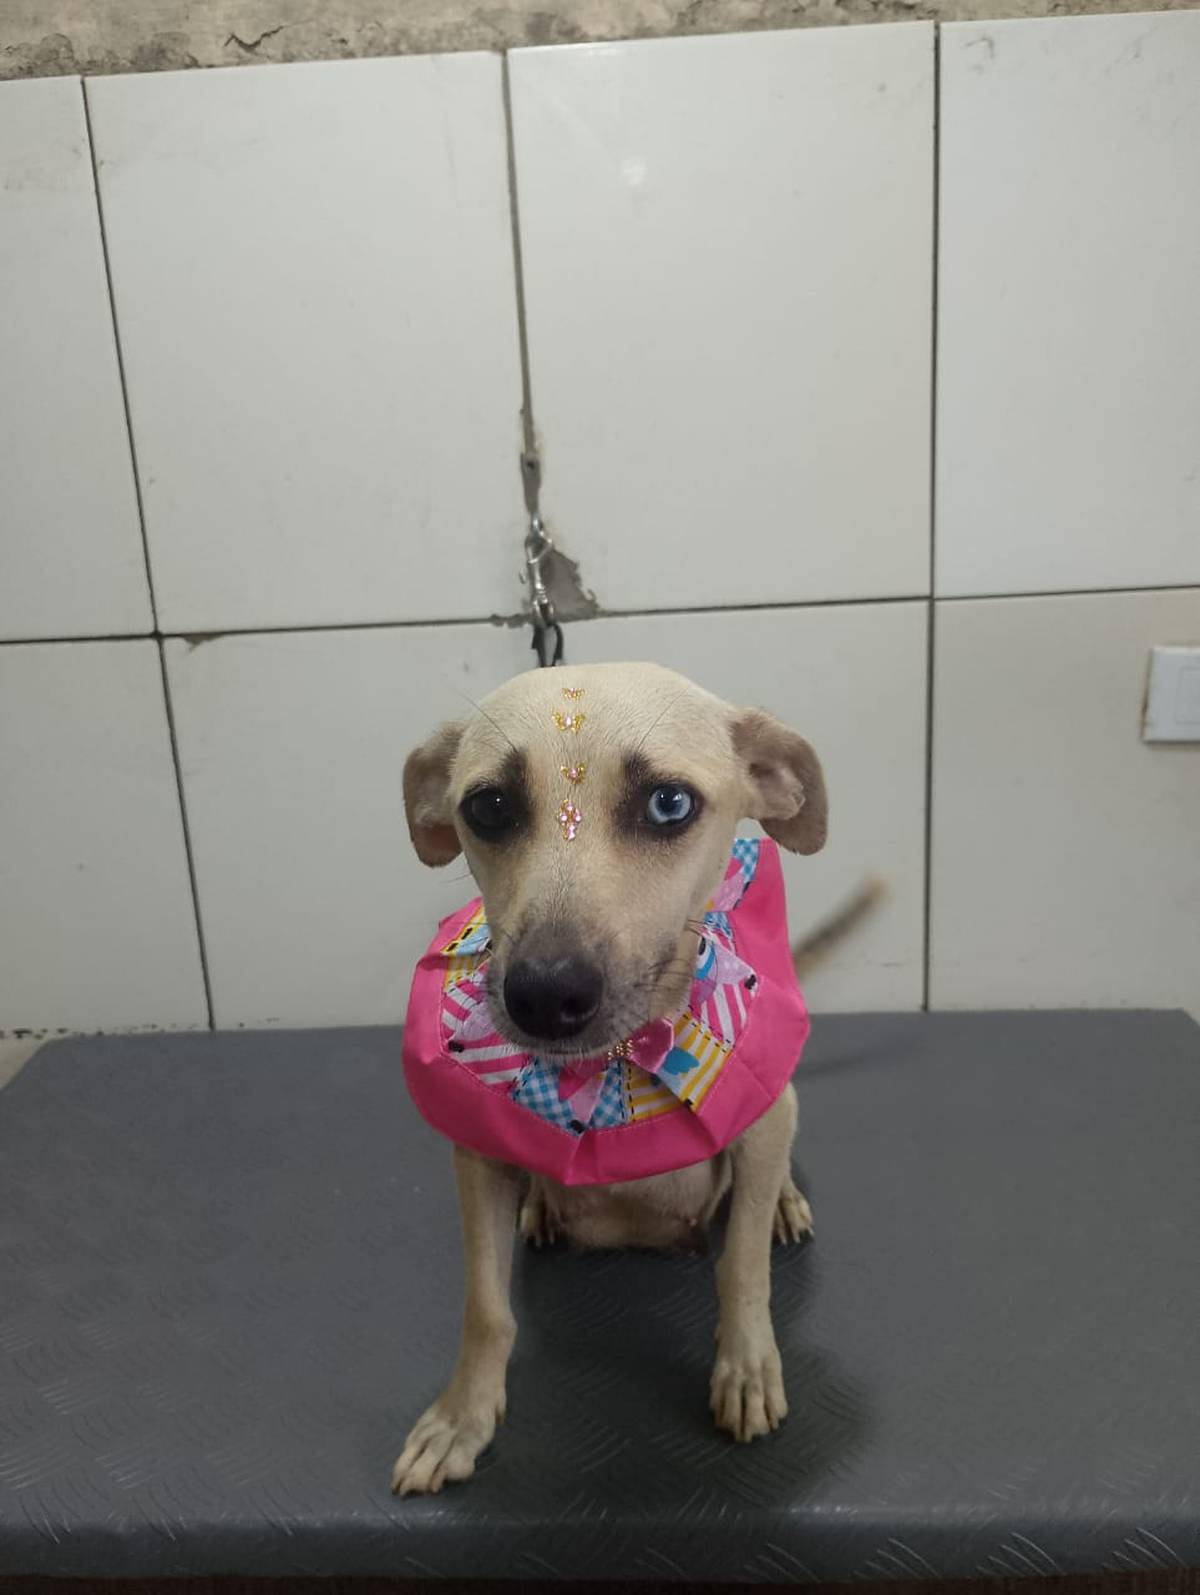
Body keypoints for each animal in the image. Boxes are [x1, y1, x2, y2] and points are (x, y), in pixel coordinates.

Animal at [392, 661, 871, 1497]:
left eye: (668, 803)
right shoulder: (476, 1158)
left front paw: (746, 1368)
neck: (612, 1065)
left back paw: (782, 1202)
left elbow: (742, 1268)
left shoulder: (755, 1130)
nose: (544, 995)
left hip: (781, 1102)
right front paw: (461, 1418)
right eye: (488, 806)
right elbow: (486, 1307)